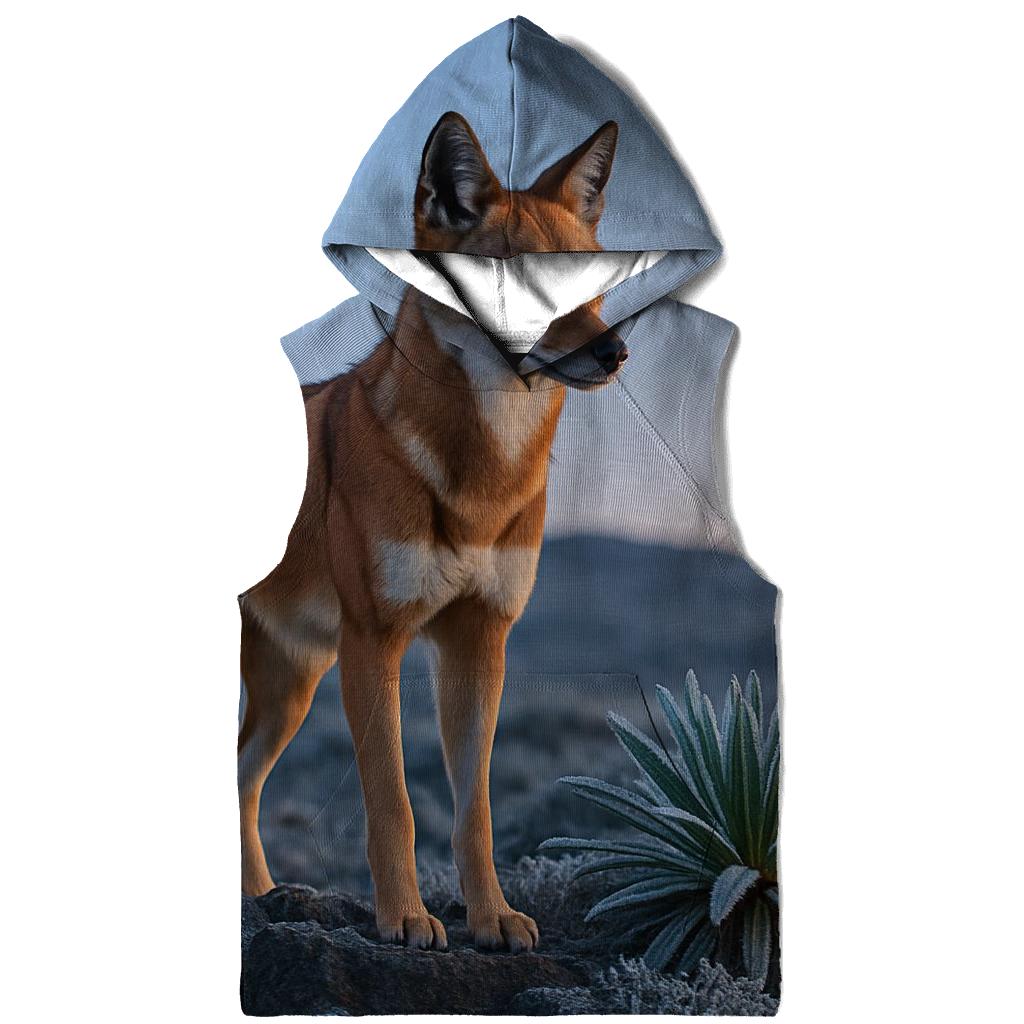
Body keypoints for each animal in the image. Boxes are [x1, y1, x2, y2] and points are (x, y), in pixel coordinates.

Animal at [238, 112, 624, 952]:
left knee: (238, 781)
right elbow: (395, 806)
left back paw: (257, 896)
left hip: (290, 691)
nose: (614, 351)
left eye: (591, 286)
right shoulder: (374, 643)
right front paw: (407, 920)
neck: (483, 479)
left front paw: (493, 919)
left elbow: (474, 813)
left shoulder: (479, 644)